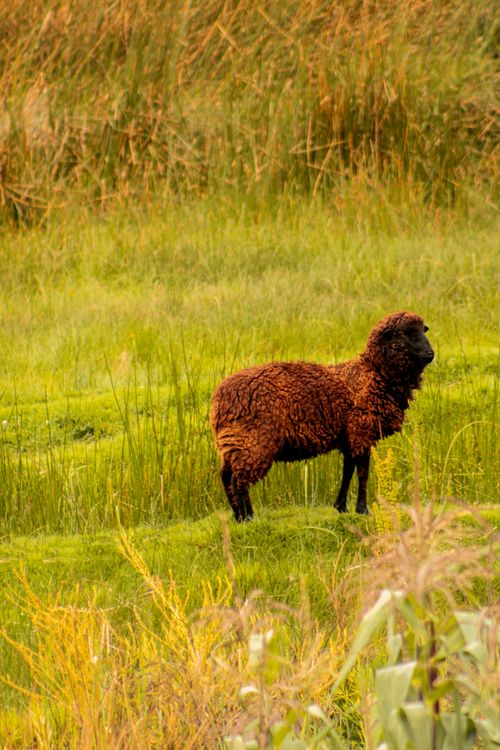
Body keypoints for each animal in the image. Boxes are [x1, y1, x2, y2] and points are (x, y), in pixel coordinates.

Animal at [210, 311, 434, 521]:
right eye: (407, 333)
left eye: (424, 330)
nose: (431, 354)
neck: (375, 373)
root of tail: (219, 399)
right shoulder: (361, 431)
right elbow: (363, 472)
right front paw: (363, 510)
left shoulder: (350, 437)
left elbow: (347, 471)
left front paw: (341, 507)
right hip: (252, 443)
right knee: (237, 481)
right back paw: (247, 517)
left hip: (233, 443)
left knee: (226, 476)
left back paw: (239, 516)